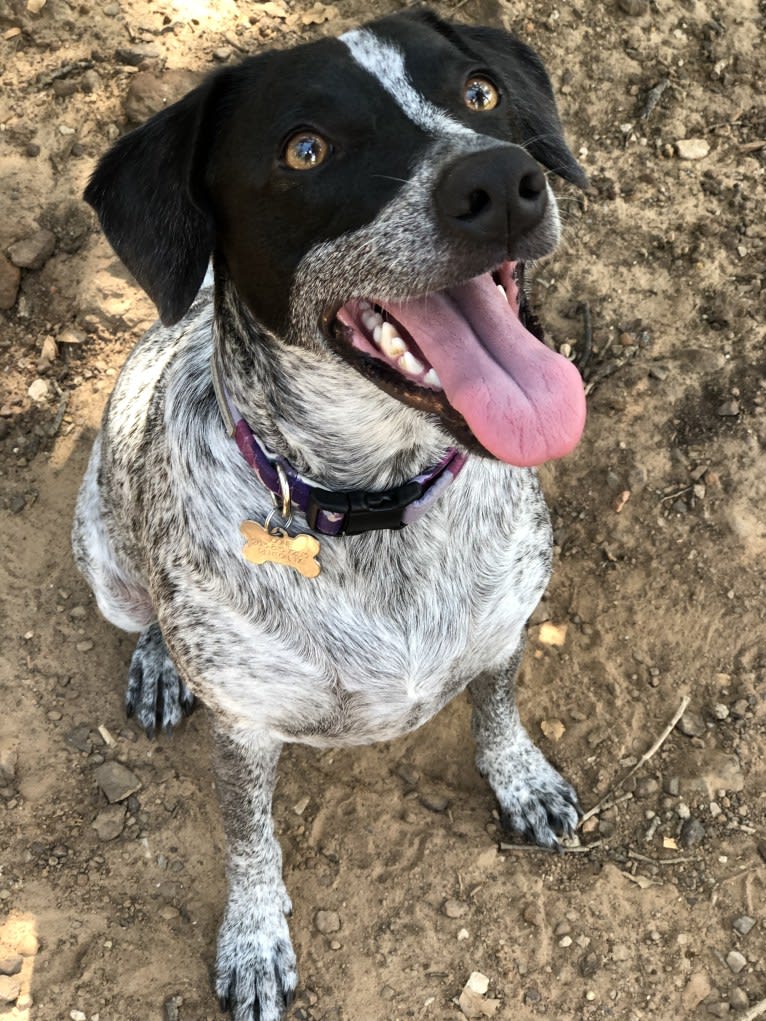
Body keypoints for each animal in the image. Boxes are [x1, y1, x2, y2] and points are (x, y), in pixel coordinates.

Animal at [73, 9, 588, 1021]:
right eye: (304, 150)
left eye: (479, 93)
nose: (499, 181)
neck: (381, 505)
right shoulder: (244, 727)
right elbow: (249, 839)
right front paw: (253, 938)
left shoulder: (506, 626)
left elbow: (498, 711)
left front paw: (520, 779)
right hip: (103, 554)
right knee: (141, 609)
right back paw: (159, 662)